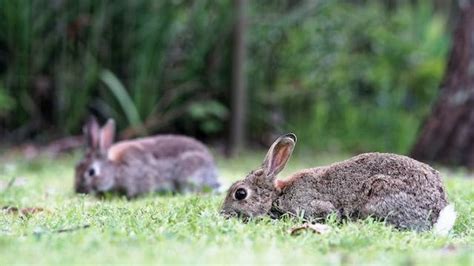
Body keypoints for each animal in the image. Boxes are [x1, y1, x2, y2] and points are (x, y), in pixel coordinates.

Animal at [220, 134, 458, 234]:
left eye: (240, 194)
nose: (223, 213)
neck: (277, 195)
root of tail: (439, 214)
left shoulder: (314, 207)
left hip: (379, 194)